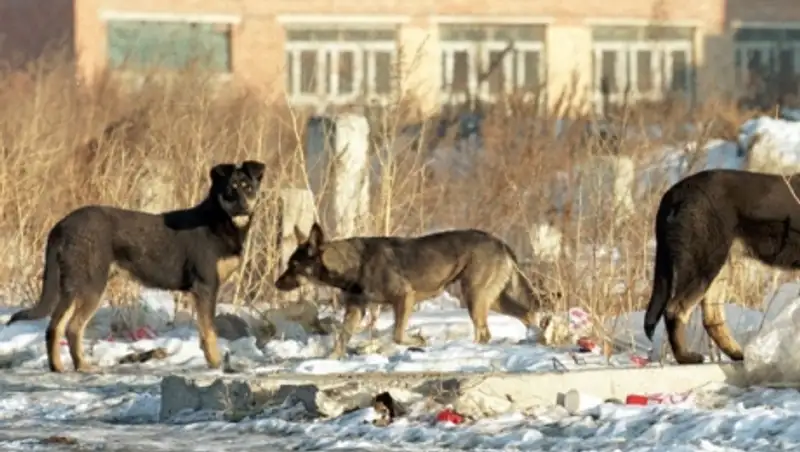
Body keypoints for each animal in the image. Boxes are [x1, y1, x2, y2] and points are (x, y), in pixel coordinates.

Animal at [272, 224, 552, 358]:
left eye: (294, 266)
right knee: (527, 314)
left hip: (474, 296)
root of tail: (500, 243)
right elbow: (341, 340)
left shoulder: (404, 297)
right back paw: (536, 338)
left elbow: (397, 335)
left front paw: (419, 341)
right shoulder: (355, 309)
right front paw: (330, 361)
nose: (276, 284)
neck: (352, 264)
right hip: (491, 299)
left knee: (485, 332)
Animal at [644, 169, 800, 364]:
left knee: (712, 318)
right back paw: (686, 357)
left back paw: (736, 353)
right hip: (705, 264)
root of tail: (674, 192)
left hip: (719, 267)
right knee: (675, 309)